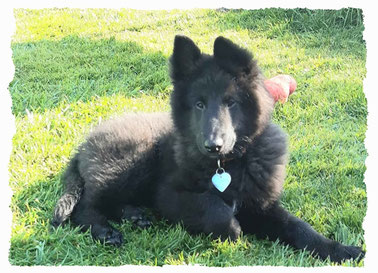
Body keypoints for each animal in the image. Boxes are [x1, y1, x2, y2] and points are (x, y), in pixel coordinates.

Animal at [52, 35, 364, 262]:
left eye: (231, 102)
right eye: (199, 104)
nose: (213, 146)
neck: (230, 165)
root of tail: (81, 148)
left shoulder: (261, 204)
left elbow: (298, 227)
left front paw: (340, 250)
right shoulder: (170, 196)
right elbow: (218, 211)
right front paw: (233, 229)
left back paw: (134, 216)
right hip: (130, 163)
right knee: (85, 206)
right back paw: (105, 230)